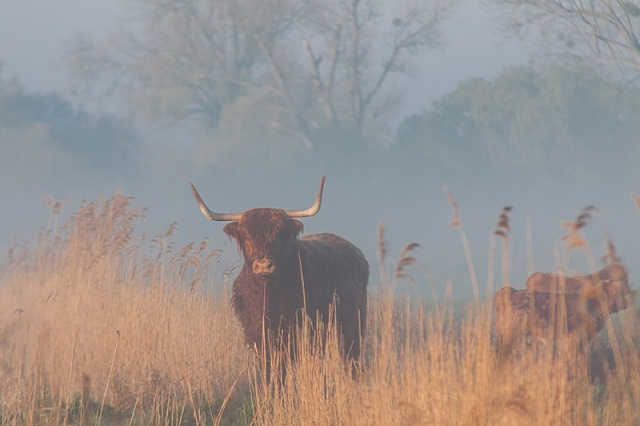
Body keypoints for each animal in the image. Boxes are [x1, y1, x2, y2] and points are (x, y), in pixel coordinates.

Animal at [190, 177, 368, 380]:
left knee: (351, 361)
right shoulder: (258, 335)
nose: (263, 265)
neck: (267, 296)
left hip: (352, 330)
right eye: (247, 238)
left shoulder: (295, 332)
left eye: (278, 237)